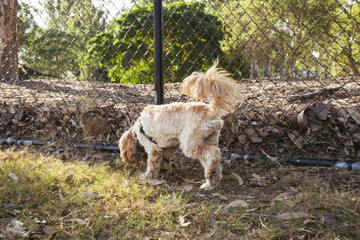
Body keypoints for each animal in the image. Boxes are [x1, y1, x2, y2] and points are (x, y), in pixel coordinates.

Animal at [119, 62, 242, 191]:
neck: (138, 131)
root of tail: (210, 110)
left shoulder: (153, 148)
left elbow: (152, 165)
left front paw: (147, 176)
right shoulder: (172, 145)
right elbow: (165, 156)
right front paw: (165, 165)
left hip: (190, 144)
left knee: (213, 154)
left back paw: (211, 177)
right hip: (207, 140)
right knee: (211, 159)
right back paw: (211, 180)